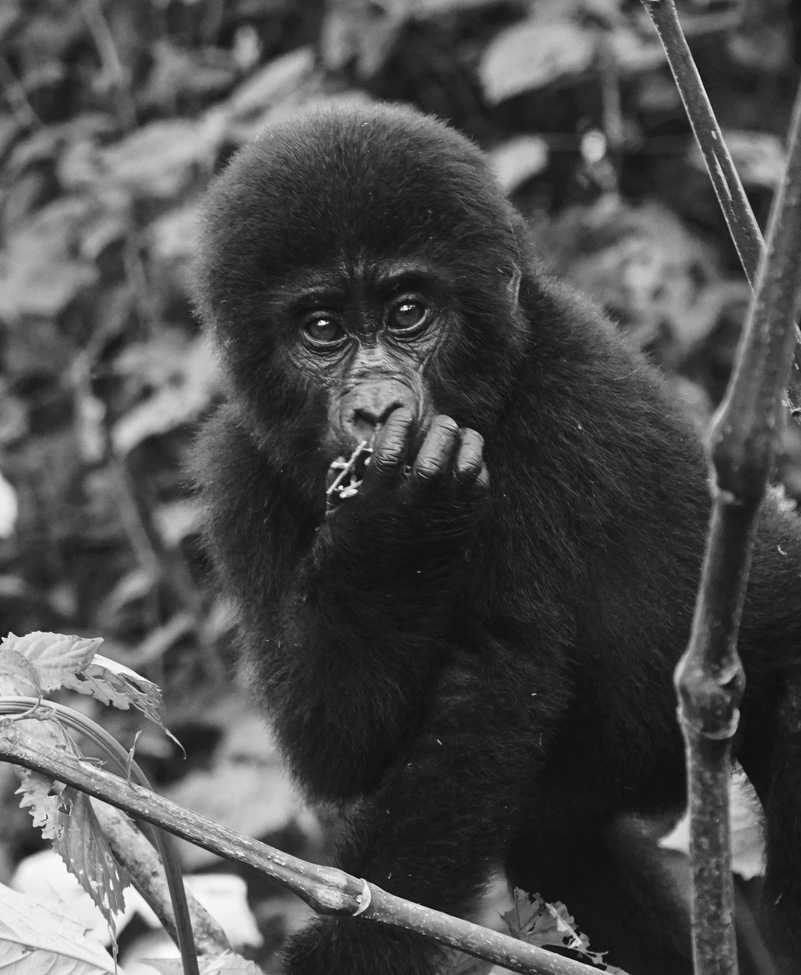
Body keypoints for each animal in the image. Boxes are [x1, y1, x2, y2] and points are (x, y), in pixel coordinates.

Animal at [191, 101, 801, 974]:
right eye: (322, 328)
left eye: (408, 313)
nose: (377, 410)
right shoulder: (238, 470)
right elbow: (339, 740)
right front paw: (389, 532)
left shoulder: (563, 401)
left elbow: (498, 674)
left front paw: (345, 946)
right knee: (560, 842)